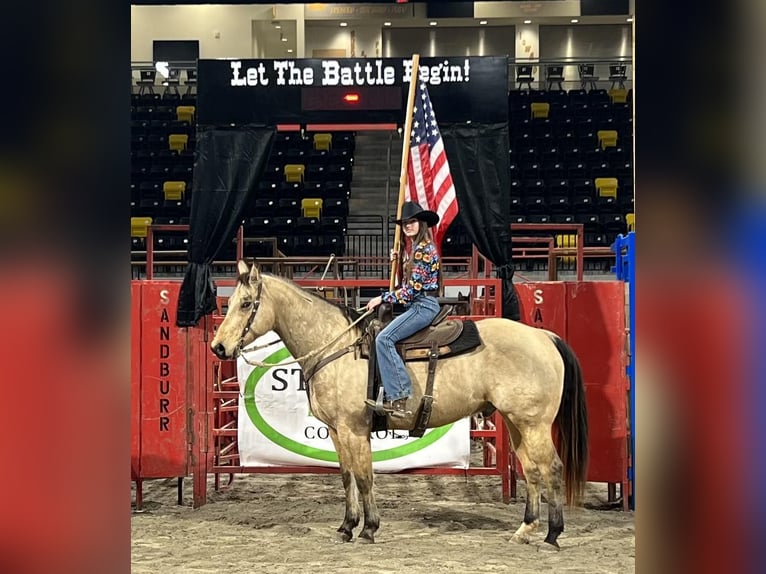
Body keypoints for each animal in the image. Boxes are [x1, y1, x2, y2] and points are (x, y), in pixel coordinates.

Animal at [210, 260, 588, 548]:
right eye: (230, 303)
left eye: (246, 304)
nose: (218, 347)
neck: (336, 345)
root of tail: (544, 337)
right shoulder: (336, 431)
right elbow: (346, 477)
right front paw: (346, 527)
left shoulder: (354, 429)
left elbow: (364, 478)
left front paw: (369, 529)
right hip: (514, 422)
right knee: (532, 470)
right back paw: (525, 529)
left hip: (534, 424)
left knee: (552, 468)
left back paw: (553, 534)